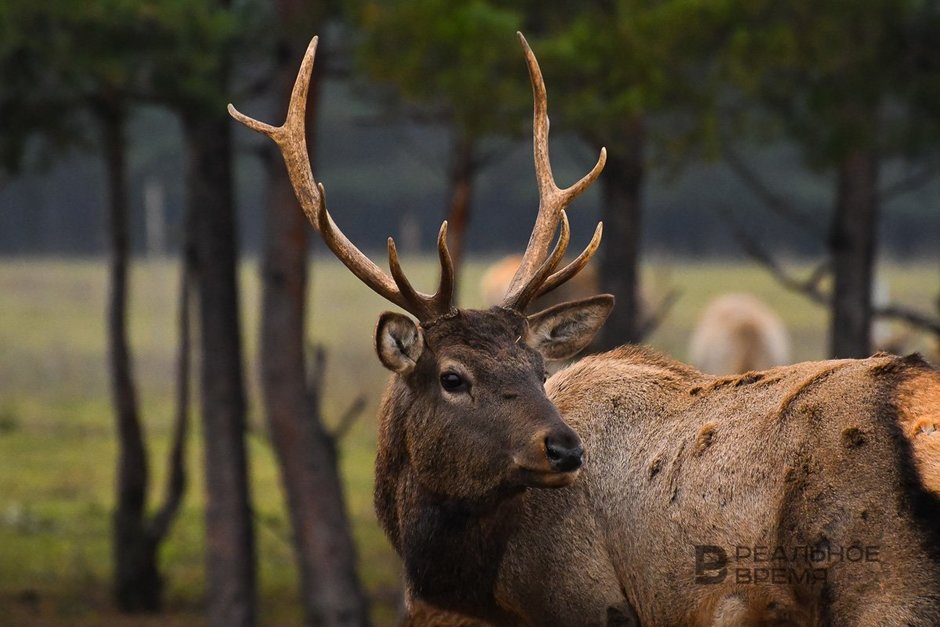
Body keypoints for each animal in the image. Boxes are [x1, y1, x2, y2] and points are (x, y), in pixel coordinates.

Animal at [229, 33, 940, 627]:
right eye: (453, 377)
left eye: (536, 369)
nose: (566, 450)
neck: (475, 584)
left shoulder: (588, 600)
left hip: (880, 582)